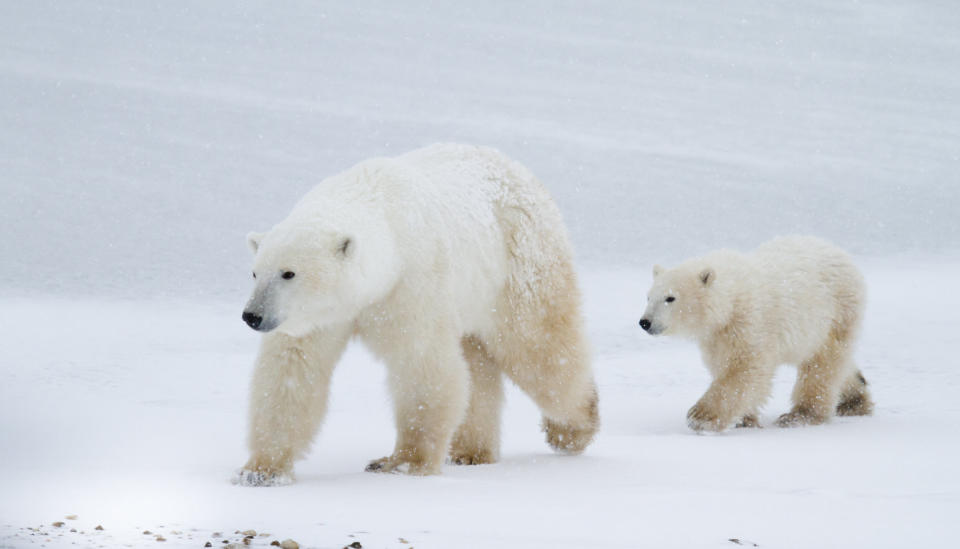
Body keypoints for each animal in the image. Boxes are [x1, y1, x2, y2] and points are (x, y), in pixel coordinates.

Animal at [236, 142, 596, 484]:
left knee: (539, 350)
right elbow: (292, 370)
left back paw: (573, 429)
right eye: (255, 273)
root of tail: (522, 171)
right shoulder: (319, 317)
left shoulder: (412, 282)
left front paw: (403, 463)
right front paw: (261, 471)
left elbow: (420, 363)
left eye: (289, 273)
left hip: (520, 263)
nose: (252, 316)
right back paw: (470, 452)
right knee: (477, 363)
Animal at [640, 235, 872, 432]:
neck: (731, 299)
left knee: (822, 364)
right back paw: (855, 399)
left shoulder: (750, 323)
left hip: (836, 312)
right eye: (648, 297)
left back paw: (799, 415)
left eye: (670, 298)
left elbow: (743, 370)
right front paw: (745, 419)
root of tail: (840, 253)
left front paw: (700, 417)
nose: (645, 322)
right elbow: (724, 365)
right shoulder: (716, 336)